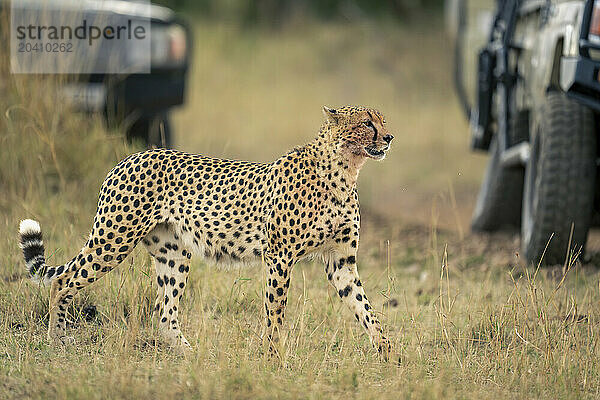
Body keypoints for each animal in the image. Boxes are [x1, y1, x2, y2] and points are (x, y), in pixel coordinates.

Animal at [17, 104, 394, 358]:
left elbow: (365, 308)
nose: (390, 137)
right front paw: (275, 358)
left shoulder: (341, 262)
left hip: (173, 254)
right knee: (63, 281)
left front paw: (389, 353)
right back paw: (57, 340)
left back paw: (190, 354)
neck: (344, 171)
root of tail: (130, 158)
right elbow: (275, 313)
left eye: (383, 121)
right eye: (366, 123)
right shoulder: (279, 257)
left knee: (164, 310)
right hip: (114, 239)